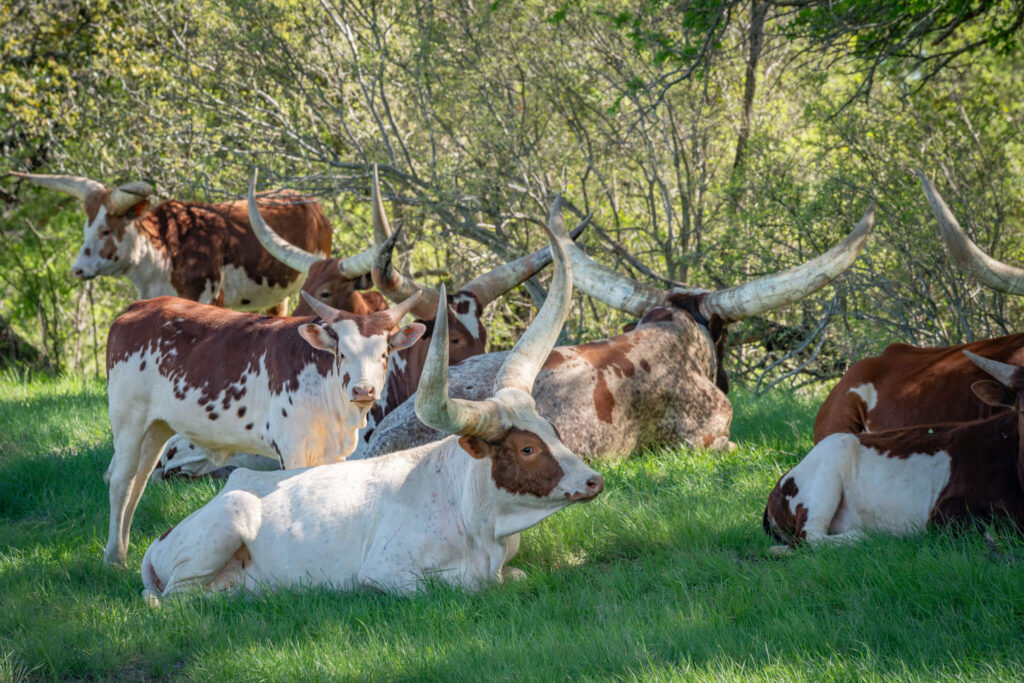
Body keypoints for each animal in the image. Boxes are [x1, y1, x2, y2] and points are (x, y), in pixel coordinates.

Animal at [139, 207, 603, 599]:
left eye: (553, 432)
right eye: (526, 449)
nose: (594, 481)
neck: (475, 512)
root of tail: (160, 540)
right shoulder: (389, 573)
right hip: (220, 531)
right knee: (173, 597)